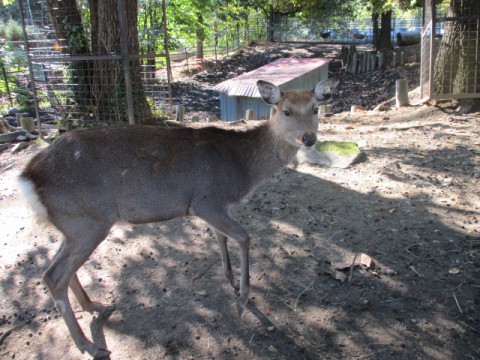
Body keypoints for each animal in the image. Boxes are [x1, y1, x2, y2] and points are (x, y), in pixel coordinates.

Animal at [19, 79, 334, 358]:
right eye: (286, 111)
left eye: (316, 108)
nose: (309, 138)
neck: (244, 168)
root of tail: (28, 177)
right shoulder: (206, 200)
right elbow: (244, 237)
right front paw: (243, 298)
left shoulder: (214, 206)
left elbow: (221, 236)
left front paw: (230, 279)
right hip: (88, 222)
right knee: (53, 276)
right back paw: (89, 345)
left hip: (72, 224)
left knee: (58, 266)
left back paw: (96, 307)